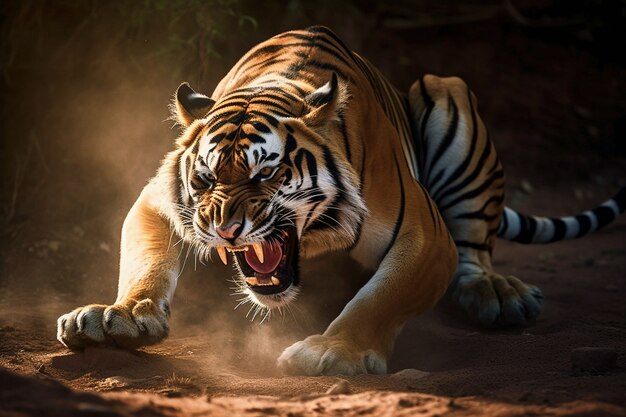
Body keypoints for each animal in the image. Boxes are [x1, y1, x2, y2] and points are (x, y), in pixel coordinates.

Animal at [56, 27, 620, 376]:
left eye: (267, 173)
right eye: (205, 178)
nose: (223, 231)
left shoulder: (425, 236)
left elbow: (381, 297)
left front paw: (331, 351)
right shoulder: (157, 201)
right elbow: (145, 264)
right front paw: (117, 316)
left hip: (447, 92)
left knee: (476, 252)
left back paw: (499, 294)